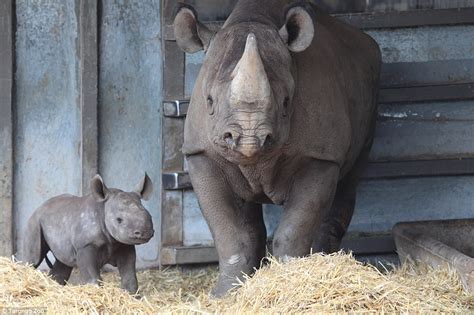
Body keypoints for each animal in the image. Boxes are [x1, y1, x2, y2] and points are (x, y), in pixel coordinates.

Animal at [21, 173, 154, 294]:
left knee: (63, 262)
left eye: (151, 216)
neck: (103, 210)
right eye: (119, 220)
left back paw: (55, 288)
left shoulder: (123, 244)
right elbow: (93, 277)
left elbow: (129, 275)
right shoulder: (85, 245)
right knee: (33, 258)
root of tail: (39, 207)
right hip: (35, 222)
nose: (144, 233)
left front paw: (133, 295)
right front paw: (98, 293)